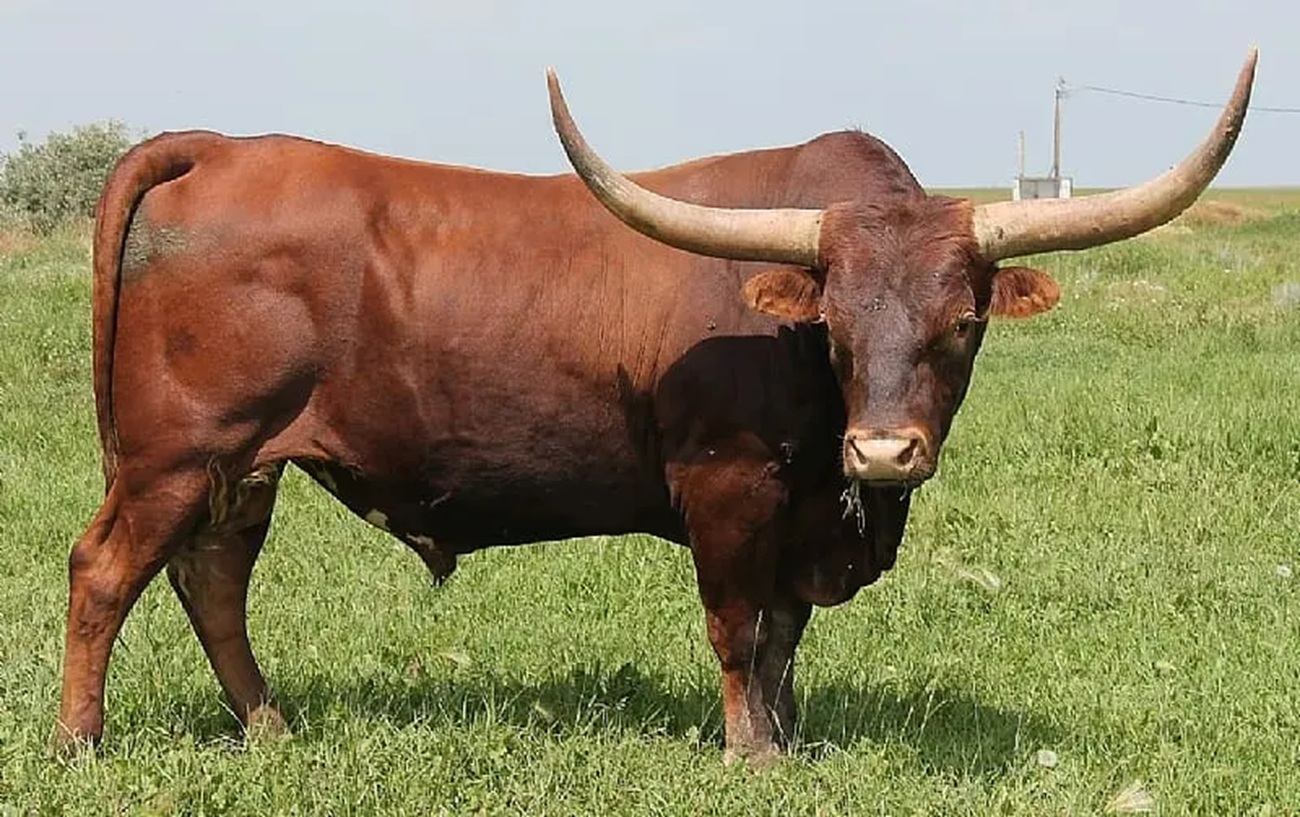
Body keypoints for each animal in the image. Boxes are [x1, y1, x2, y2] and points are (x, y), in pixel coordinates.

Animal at [55, 50, 1255, 764]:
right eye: (835, 325)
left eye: (961, 323)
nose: (883, 451)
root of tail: (219, 147)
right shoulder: (729, 484)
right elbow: (736, 626)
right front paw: (748, 752)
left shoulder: (804, 510)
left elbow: (783, 637)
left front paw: (789, 737)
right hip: (175, 453)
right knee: (107, 571)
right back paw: (82, 742)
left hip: (242, 464)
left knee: (213, 581)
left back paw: (270, 727)